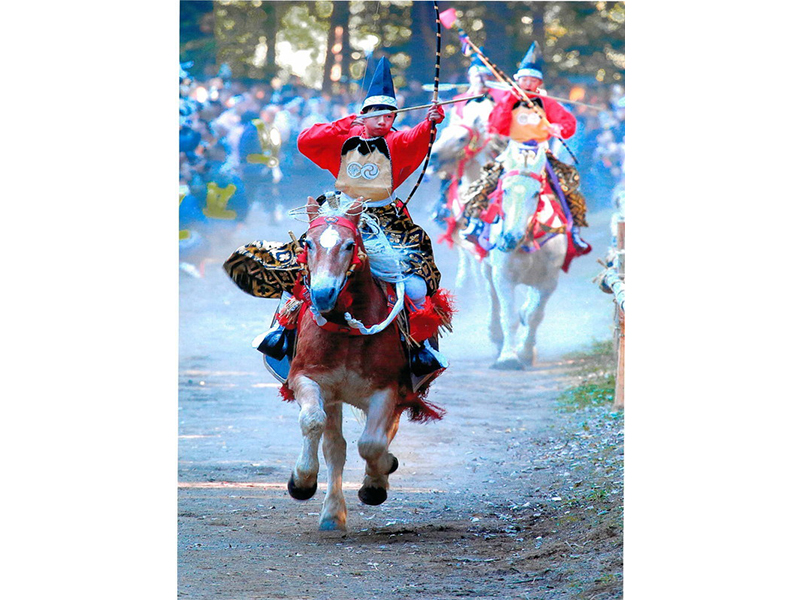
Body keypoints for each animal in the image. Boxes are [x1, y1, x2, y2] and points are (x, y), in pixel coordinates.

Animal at [282, 196, 444, 528]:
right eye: (308, 243)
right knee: (335, 447)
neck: (346, 329)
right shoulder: (308, 378)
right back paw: (332, 513)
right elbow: (313, 421)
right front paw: (301, 481)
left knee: (380, 435)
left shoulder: (387, 390)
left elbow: (372, 443)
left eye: (348, 245)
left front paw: (375, 484)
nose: (323, 293)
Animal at [488, 144, 568, 372]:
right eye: (505, 190)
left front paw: (525, 352)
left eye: (535, 193)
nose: (510, 237)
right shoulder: (502, 275)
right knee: (493, 297)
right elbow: (509, 316)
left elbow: (534, 316)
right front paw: (508, 357)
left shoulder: (549, 280)